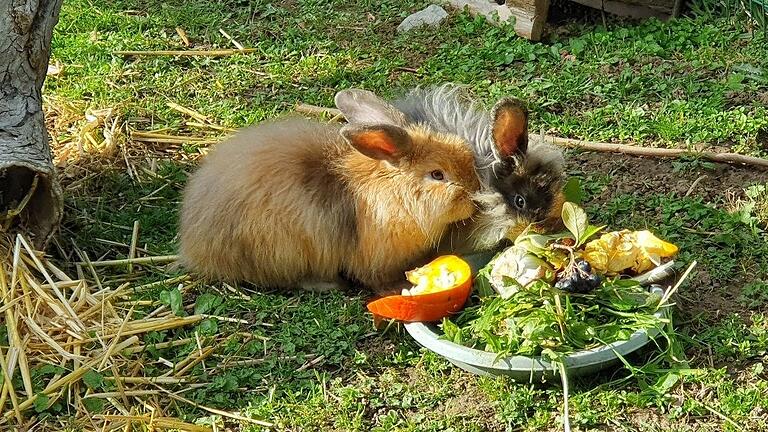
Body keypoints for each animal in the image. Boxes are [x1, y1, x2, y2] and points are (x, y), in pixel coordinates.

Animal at [179, 90, 480, 294]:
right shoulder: (373, 259)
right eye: (437, 175)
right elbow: (376, 279)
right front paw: (396, 288)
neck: (392, 191)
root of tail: (195, 247)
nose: (475, 194)